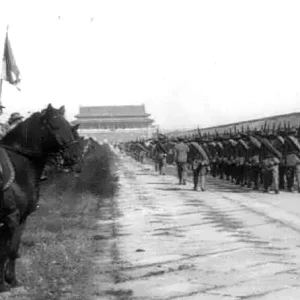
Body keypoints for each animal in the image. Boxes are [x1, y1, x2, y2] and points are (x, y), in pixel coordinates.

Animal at [0, 103, 82, 290]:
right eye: (55, 126)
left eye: (69, 127)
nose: (75, 157)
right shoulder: (10, 218)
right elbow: (5, 250)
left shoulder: (21, 218)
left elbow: (13, 248)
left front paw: (12, 280)